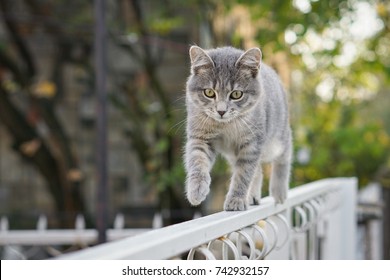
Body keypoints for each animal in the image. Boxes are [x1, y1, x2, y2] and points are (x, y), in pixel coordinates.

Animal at [184, 46, 290, 211]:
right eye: (209, 92)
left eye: (236, 94)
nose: (221, 111)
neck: (225, 125)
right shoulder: (200, 137)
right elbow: (197, 160)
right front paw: (196, 189)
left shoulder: (252, 144)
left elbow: (243, 174)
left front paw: (236, 200)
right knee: (258, 171)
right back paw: (253, 196)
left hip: (277, 140)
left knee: (284, 156)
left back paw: (279, 191)